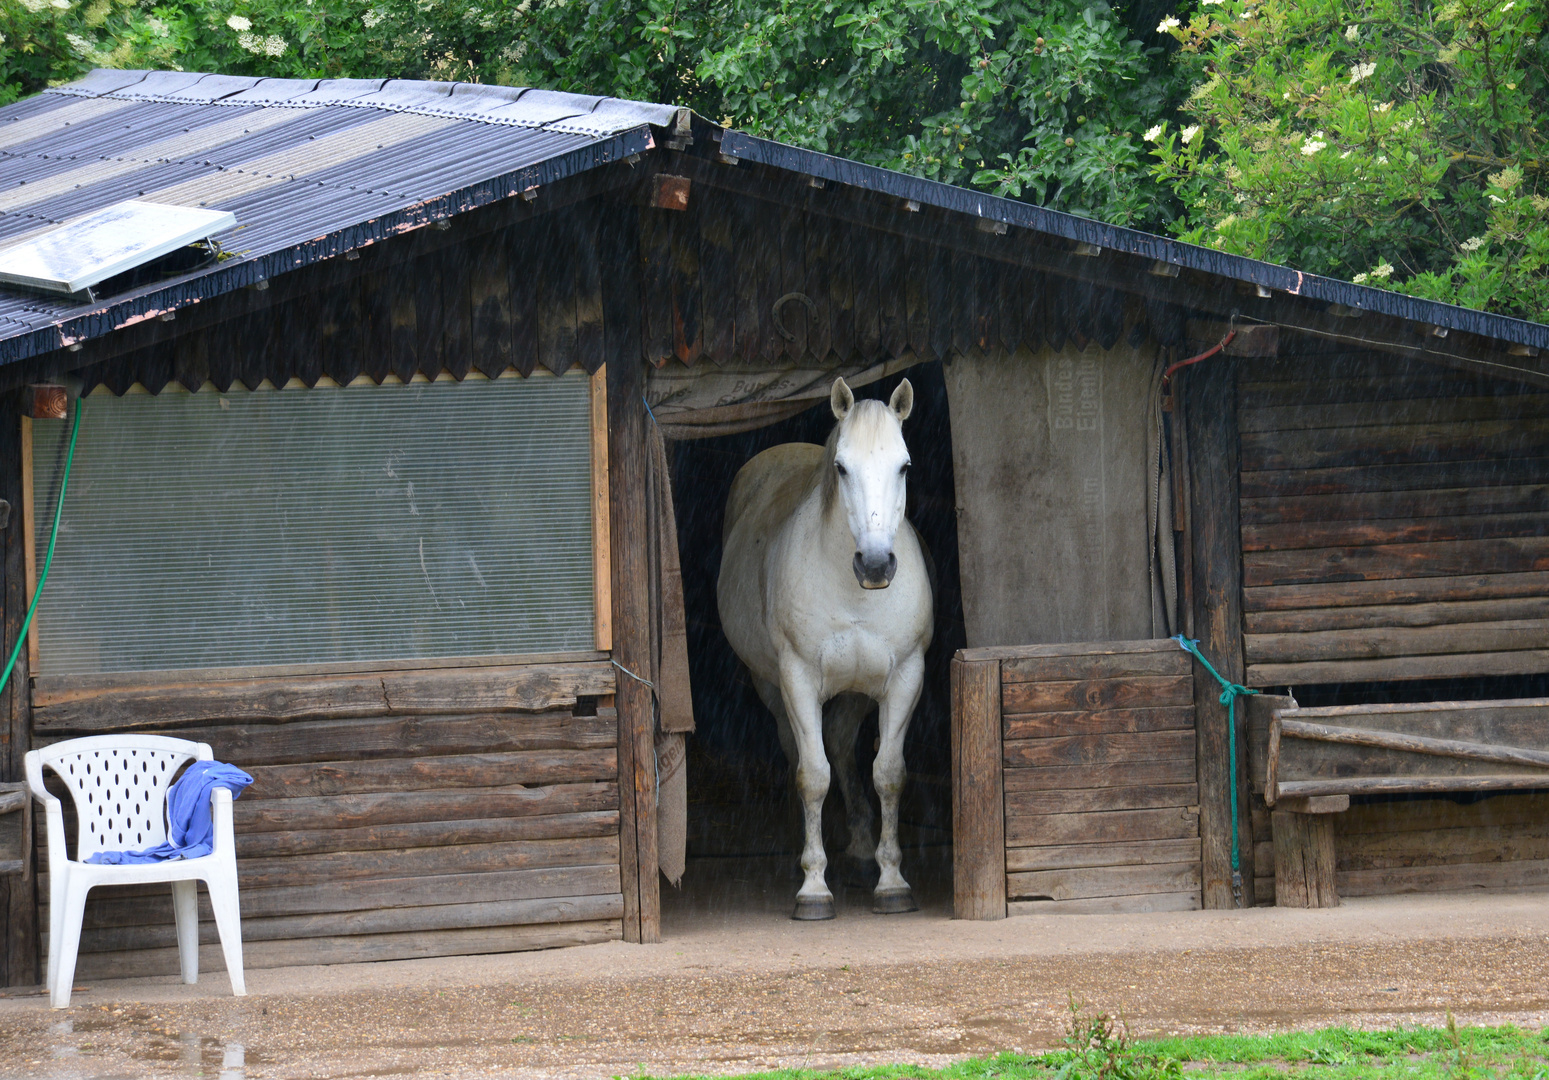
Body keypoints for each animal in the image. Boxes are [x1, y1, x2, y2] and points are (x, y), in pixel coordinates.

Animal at [715, 379, 929, 917]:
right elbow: (812, 775)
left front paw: (892, 881)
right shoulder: (798, 679)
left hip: (854, 692)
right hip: (771, 686)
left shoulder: (905, 678)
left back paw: (860, 851)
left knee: (844, 747)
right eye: (842, 467)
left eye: (904, 465)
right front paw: (813, 888)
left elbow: (888, 773)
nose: (875, 564)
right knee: (802, 753)